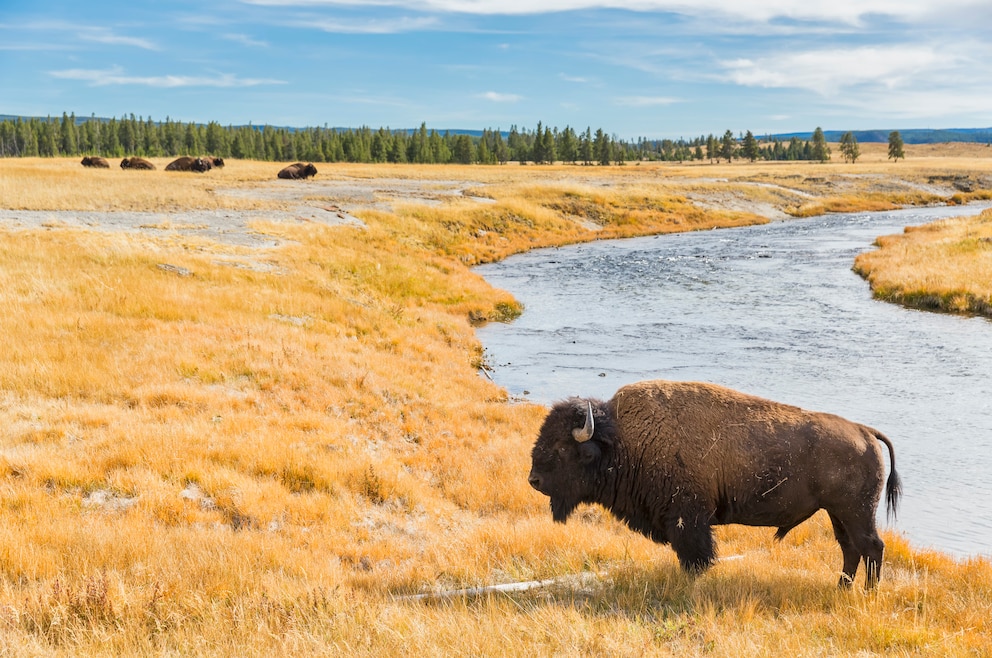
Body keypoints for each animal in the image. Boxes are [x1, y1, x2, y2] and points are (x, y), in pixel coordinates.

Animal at [532, 376, 904, 588]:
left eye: (563, 447)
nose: (533, 479)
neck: (623, 439)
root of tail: (864, 431)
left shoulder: (687, 520)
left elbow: (697, 557)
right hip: (837, 513)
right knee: (850, 548)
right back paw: (842, 588)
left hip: (855, 512)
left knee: (872, 546)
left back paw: (869, 592)